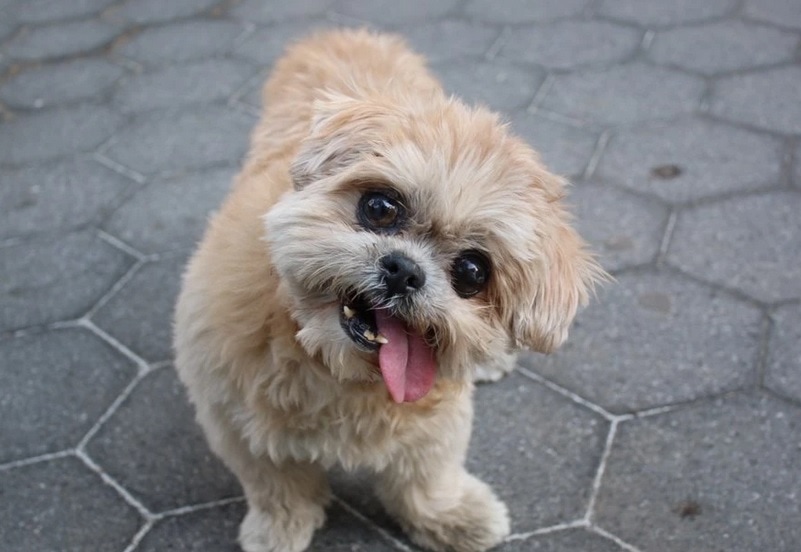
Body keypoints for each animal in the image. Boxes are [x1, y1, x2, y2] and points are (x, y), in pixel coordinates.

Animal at [172, 29, 604, 552]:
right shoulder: (236, 419)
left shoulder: (434, 429)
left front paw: (453, 518)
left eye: (473, 272)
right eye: (379, 207)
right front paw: (279, 529)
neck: (334, 368)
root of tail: (343, 33)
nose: (403, 271)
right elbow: (277, 484)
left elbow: (426, 481)